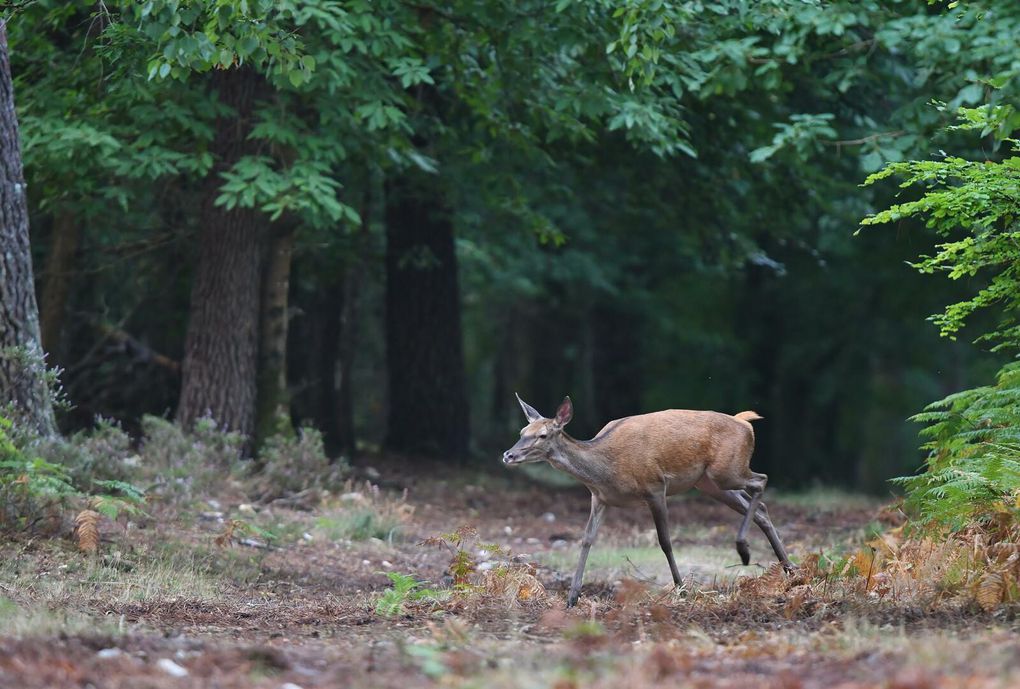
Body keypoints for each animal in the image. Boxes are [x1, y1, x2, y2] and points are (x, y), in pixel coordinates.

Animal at [505, 396, 791, 608]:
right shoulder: (599, 498)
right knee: (760, 507)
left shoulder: (655, 487)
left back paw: (744, 549)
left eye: (543, 435)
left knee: (761, 480)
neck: (606, 471)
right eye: (522, 431)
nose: (508, 455)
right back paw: (789, 569)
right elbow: (586, 539)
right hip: (710, 482)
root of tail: (745, 423)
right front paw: (572, 598)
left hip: (727, 470)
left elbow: (665, 541)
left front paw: (682, 590)